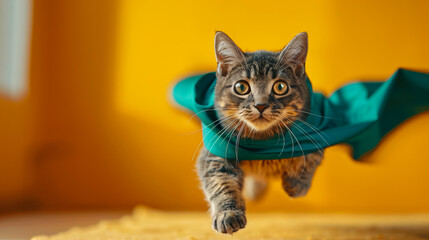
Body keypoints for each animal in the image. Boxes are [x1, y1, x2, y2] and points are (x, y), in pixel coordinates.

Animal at [196, 31, 322, 233]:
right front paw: (228, 214)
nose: (261, 105)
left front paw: (296, 184)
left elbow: (309, 157)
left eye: (280, 87)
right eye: (241, 87)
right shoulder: (214, 153)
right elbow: (220, 181)